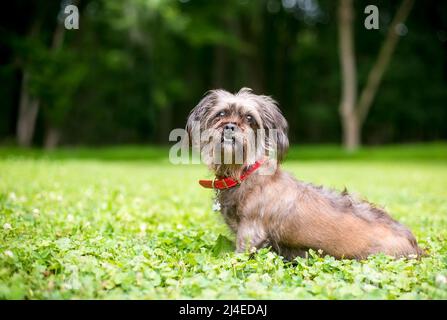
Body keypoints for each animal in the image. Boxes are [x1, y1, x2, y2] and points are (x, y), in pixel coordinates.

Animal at [187, 87, 426, 260]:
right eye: (221, 114)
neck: (244, 173)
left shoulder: (250, 234)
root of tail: (415, 246)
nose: (229, 126)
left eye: (249, 119)